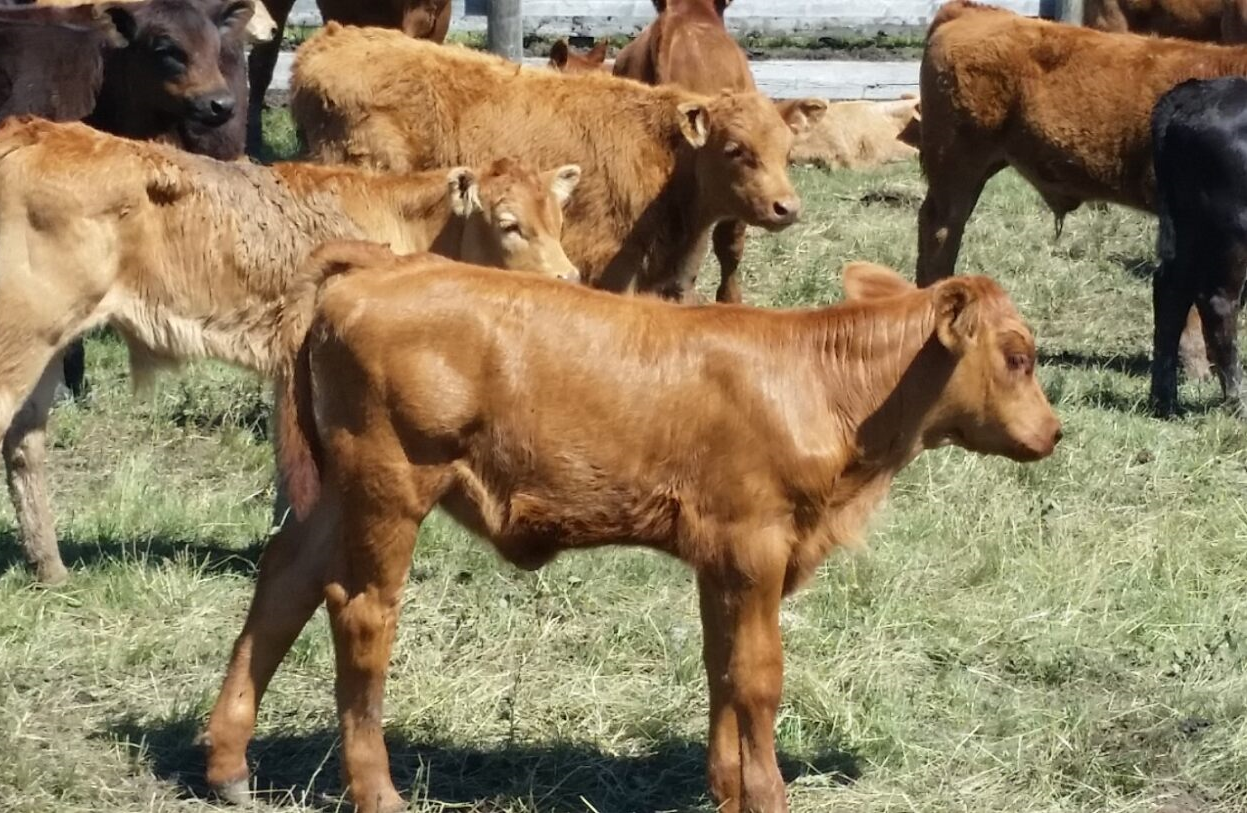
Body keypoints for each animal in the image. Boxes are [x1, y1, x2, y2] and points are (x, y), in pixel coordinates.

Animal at [0, 117, 581, 584]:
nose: (569, 279)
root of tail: (26, 132)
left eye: (558, 220)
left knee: (25, 444)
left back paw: (51, 570)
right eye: (509, 225)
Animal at [199, 251, 1062, 813]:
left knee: (283, 584)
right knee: (360, 612)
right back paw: (376, 790)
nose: (1052, 432)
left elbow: (721, 666)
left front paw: (725, 788)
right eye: (1018, 355)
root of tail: (368, 272)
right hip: (389, 487)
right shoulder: (755, 544)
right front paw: (768, 793)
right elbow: (758, 675)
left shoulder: (720, 558)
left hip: (332, 495)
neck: (815, 384)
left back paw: (228, 764)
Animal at [1152, 77, 1247, 415]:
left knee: (1171, 292)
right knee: (1219, 302)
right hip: (1231, 232)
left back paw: (1164, 400)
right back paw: (1238, 403)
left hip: (1189, 227)